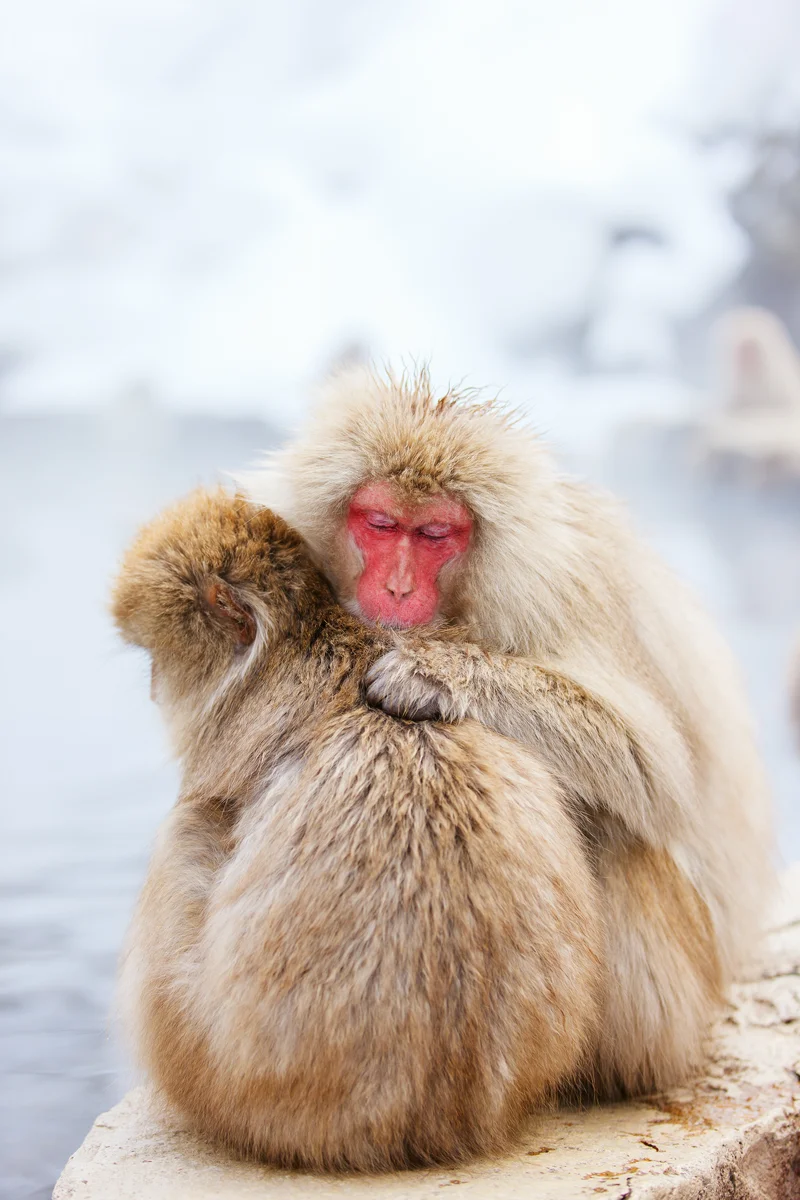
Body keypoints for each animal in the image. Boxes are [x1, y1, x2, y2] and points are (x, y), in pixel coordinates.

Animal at [111, 488, 603, 1171]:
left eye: (160, 654)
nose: (156, 685)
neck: (305, 636)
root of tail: (426, 1129)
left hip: (217, 1075)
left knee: (184, 838)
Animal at [242, 364, 774, 1097]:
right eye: (380, 524)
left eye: (436, 535)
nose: (398, 590)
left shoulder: (566, 593)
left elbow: (654, 766)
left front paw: (434, 673)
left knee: (620, 825)